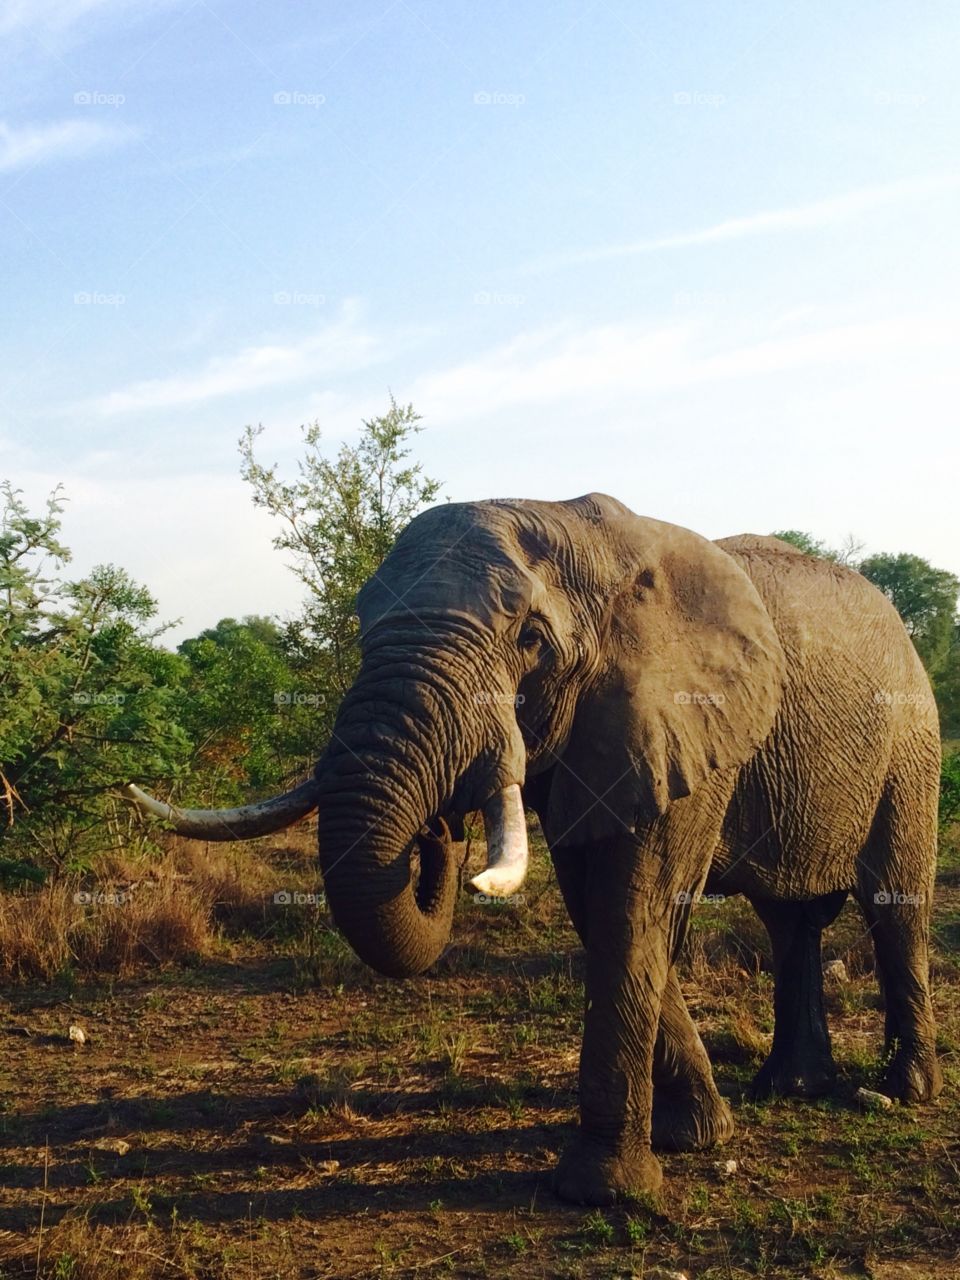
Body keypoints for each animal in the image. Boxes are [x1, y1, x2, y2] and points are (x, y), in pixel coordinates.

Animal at [125, 493, 943, 1205]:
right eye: (360, 630)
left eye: (530, 641)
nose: (438, 828)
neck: (581, 532)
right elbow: (596, 911)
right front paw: (692, 1136)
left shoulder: (682, 718)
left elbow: (633, 910)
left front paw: (603, 1191)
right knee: (791, 921)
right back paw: (791, 1088)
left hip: (913, 737)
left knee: (895, 907)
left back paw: (899, 1093)